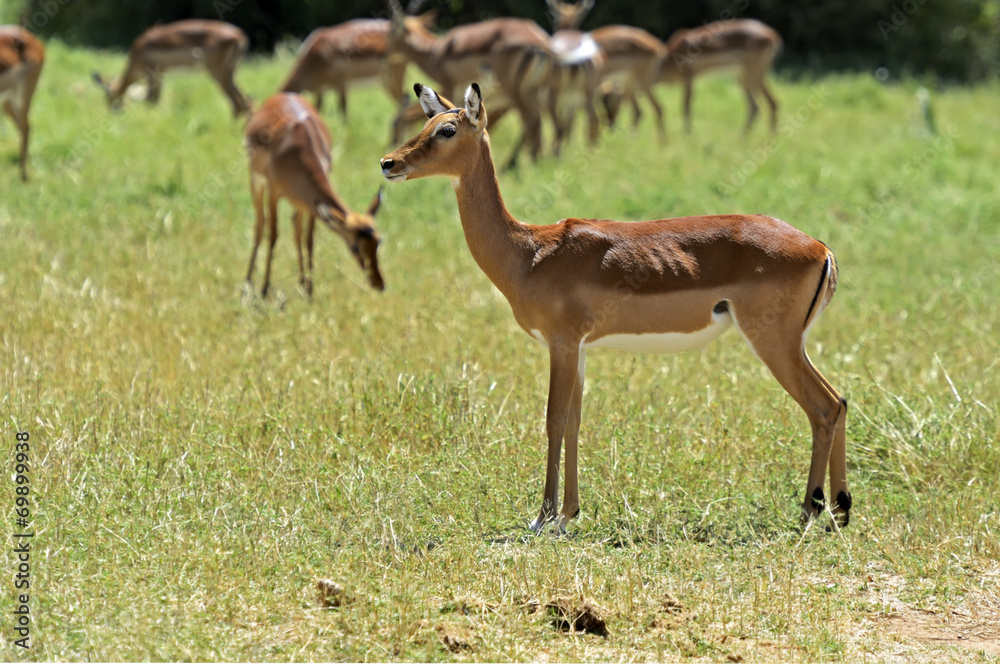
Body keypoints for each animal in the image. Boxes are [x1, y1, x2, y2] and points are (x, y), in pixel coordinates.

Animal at [92, 20, 250, 117]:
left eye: (109, 97)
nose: (114, 112)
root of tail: (239, 35)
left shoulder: (151, 74)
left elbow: (151, 100)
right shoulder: (160, 75)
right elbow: (156, 99)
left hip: (218, 74)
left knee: (238, 103)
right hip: (230, 73)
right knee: (246, 101)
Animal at [244, 93, 385, 297]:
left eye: (378, 241)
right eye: (356, 246)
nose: (380, 284)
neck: (295, 150)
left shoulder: (312, 203)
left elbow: (309, 239)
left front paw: (310, 291)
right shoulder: (274, 192)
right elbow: (273, 235)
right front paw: (264, 289)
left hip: (300, 200)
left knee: (296, 226)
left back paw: (301, 281)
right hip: (256, 182)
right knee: (260, 224)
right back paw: (248, 281)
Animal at [381, 83, 850, 532]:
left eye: (447, 129)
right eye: (427, 122)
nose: (388, 162)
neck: (529, 252)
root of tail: (820, 247)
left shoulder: (562, 343)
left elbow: (553, 419)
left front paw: (543, 517)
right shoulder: (580, 349)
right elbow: (574, 421)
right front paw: (569, 513)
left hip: (773, 341)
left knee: (824, 406)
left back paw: (811, 511)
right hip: (791, 343)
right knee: (839, 401)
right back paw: (839, 510)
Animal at [544, 0, 604, 155]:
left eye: (555, 18)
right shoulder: (570, 101)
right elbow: (569, 123)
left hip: (554, 94)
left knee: (557, 122)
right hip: (589, 93)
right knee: (594, 119)